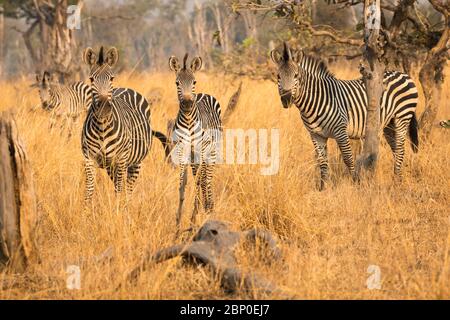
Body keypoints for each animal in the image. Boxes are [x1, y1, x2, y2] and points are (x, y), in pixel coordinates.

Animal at [81, 46, 157, 204]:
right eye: (91, 79)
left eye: (111, 78)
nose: (104, 108)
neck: (102, 127)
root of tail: (126, 88)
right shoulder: (89, 158)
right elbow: (89, 190)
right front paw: (86, 210)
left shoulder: (121, 158)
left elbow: (120, 189)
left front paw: (117, 210)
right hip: (111, 165)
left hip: (134, 162)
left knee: (128, 188)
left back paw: (127, 206)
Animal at [168, 53, 222, 234]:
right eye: (177, 83)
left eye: (194, 82)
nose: (187, 103)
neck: (189, 121)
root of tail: (204, 94)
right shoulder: (182, 151)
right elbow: (182, 184)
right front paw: (178, 224)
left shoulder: (200, 150)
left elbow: (199, 182)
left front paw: (193, 220)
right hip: (194, 157)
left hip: (211, 151)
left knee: (207, 178)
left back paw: (209, 206)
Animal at [268, 41, 420, 189]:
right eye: (278, 76)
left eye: (296, 76)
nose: (286, 99)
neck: (314, 101)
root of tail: (404, 74)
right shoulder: (316, 134)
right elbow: (322, 162)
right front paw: (323, 188)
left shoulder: (340, 130)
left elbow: (348, 158)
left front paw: (356, 183)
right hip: (389, 124)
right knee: (395, 148)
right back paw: (398, 178)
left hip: (402, 117)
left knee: (400, 149)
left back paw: (397, 182)